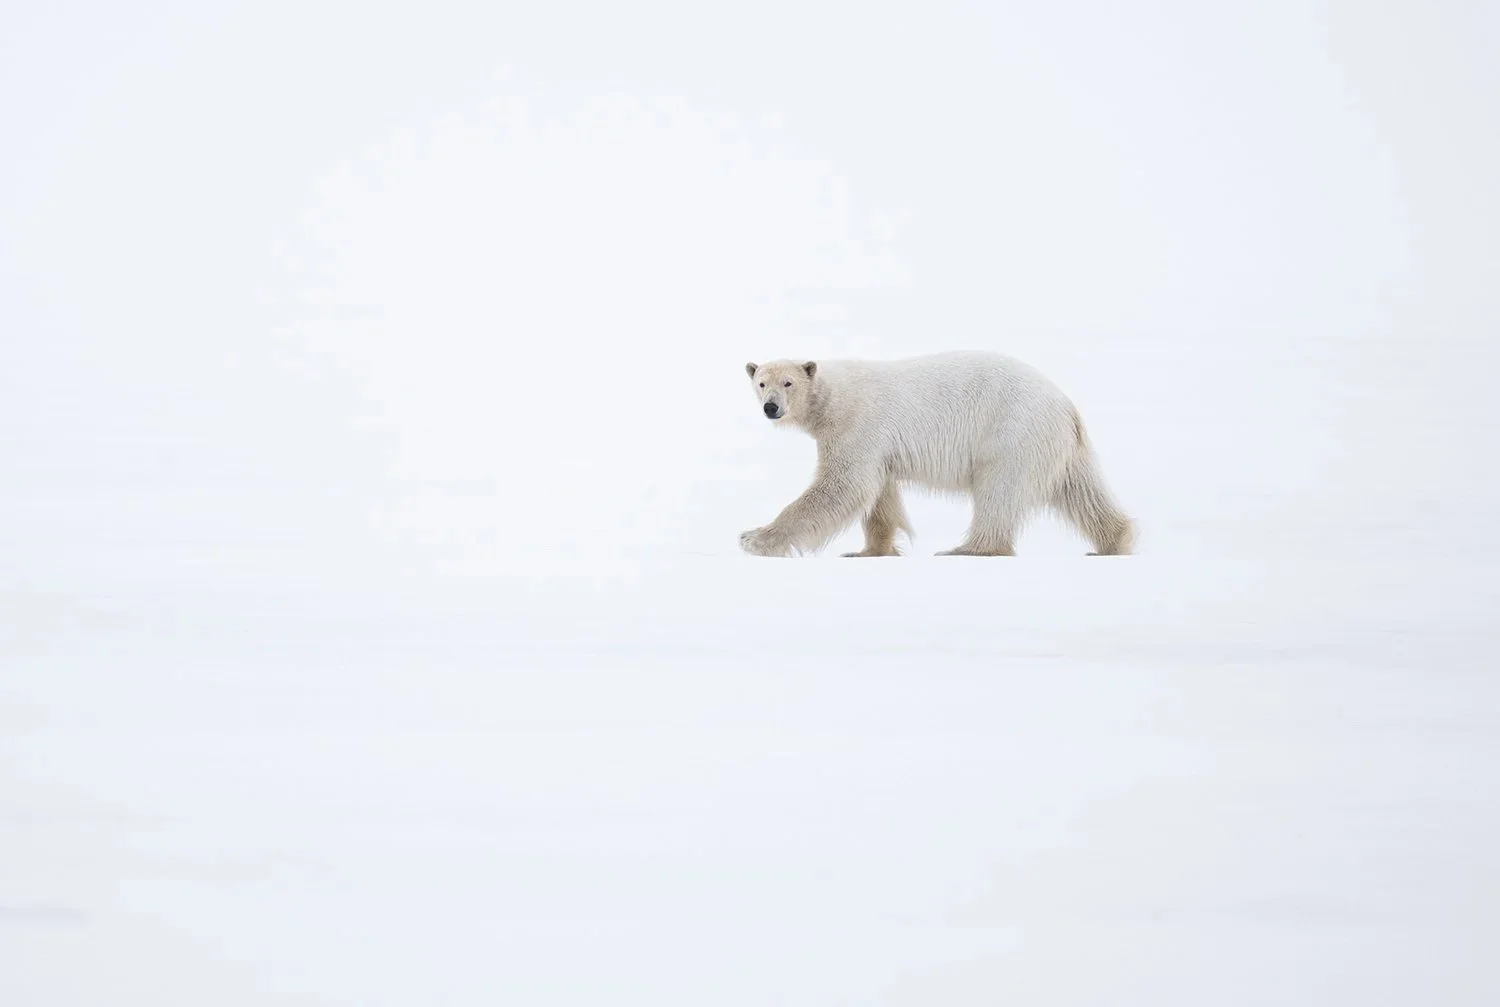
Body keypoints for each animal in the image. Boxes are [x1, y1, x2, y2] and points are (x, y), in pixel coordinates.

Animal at [740, 351, 1135, 557]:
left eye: (788, 383)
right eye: (761, 383)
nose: (771, 407)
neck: (833, 397)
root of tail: (1066, 404)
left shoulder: (858, 425)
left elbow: (842, 486)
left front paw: (754, 539)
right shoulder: (878, 446)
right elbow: (879, 497)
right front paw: (870, 551)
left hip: (1011, 432)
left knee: (998, 490)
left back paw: (968, 549)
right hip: (1057, 445)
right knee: (1081, 491)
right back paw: (1114, 541)